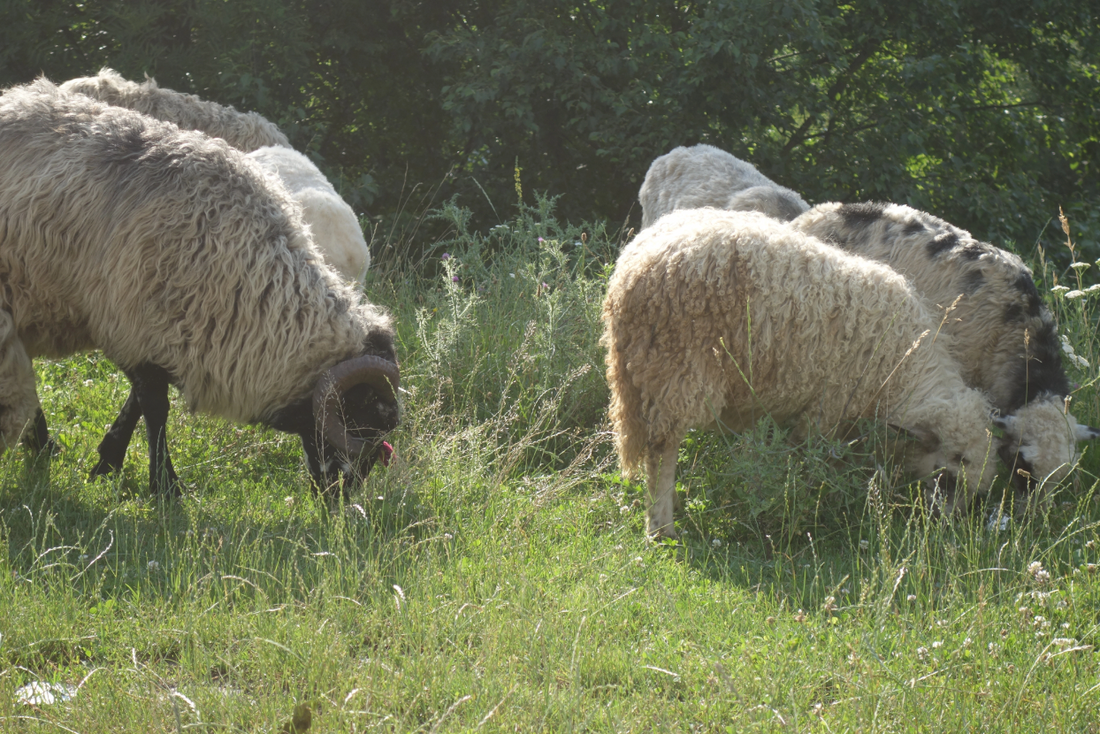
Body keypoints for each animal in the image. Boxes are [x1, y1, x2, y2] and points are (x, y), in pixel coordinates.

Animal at [0, 78, 399, 495]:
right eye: (363, 414)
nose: (341, 496)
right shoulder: (133, 323)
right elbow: (155, 407)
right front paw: (164, 485)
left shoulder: (160, 331)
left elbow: (141, 402)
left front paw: (109, 461)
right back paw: (42, 443)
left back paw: (41, 444)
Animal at [602, 208, 998, 539]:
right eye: (947, 475)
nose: (948, 526)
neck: (903, 366)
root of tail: (628, 275)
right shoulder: (826, 410)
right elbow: (813, 465)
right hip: (678, 369)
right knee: (662, 451)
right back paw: (660, 525)